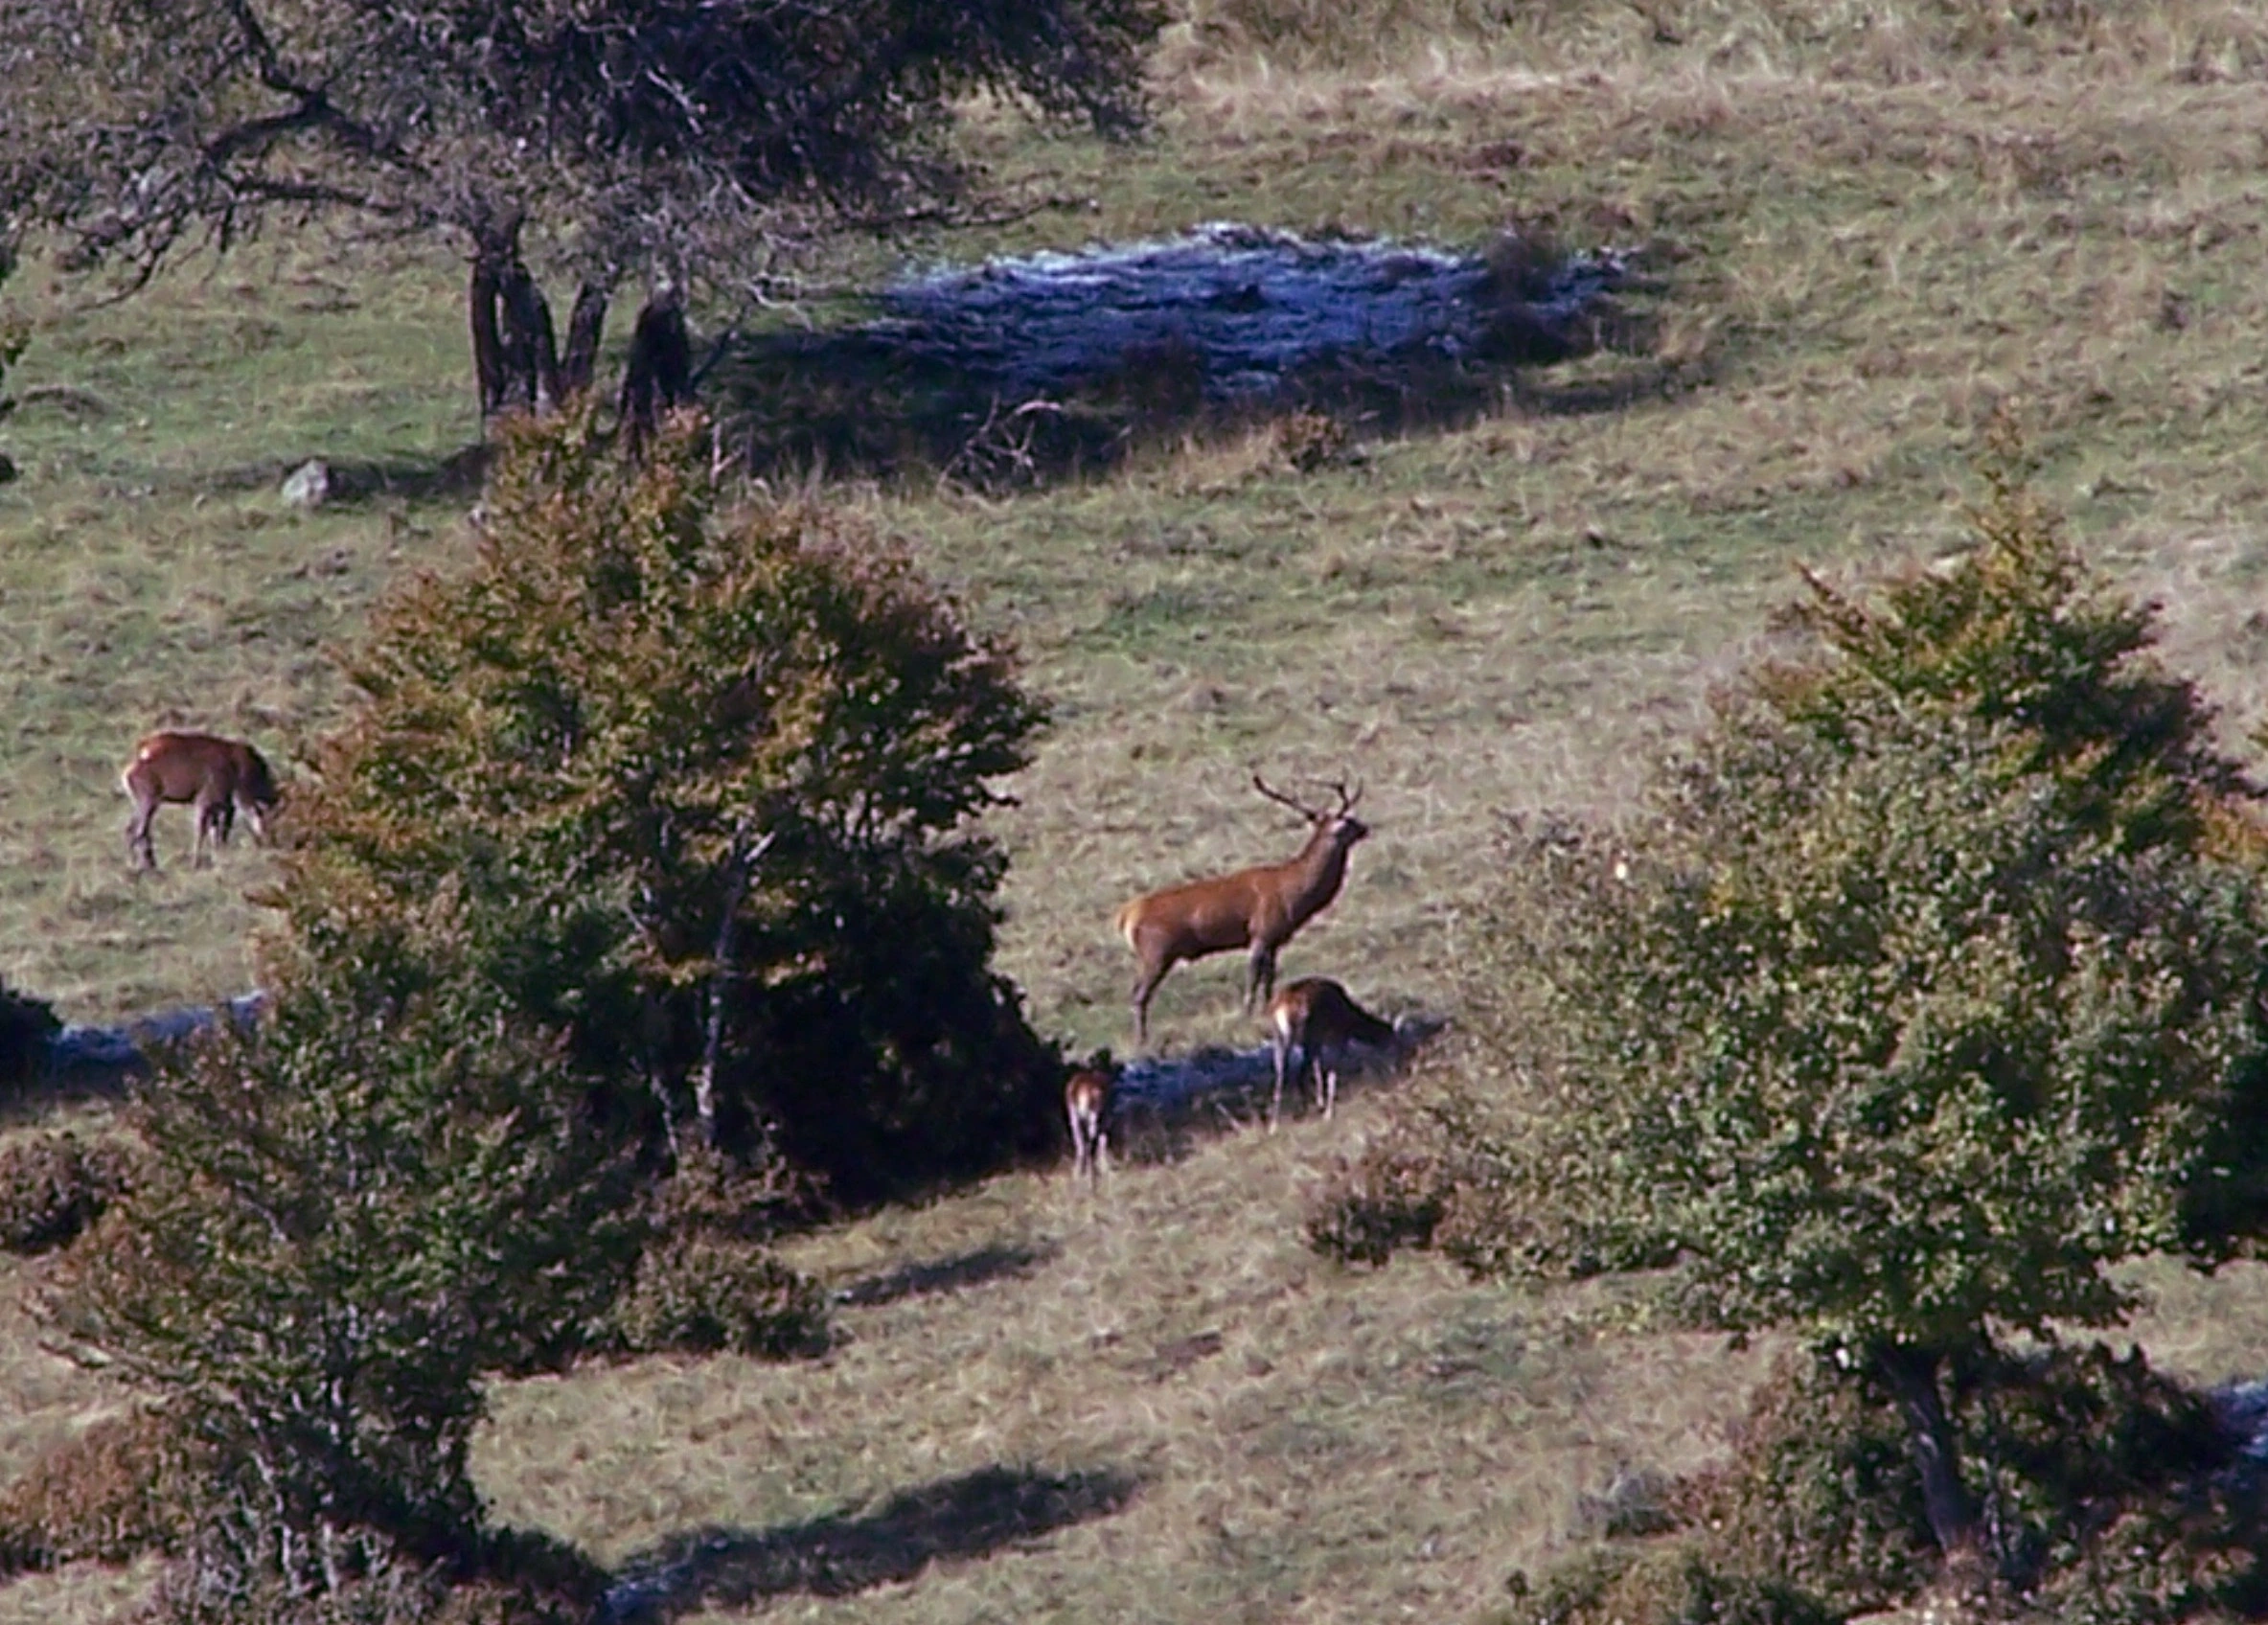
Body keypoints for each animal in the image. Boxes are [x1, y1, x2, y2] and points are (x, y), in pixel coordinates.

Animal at [122, 730, 280, 873]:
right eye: (270, 820)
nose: (271, 844)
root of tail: (129, 772)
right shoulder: (205, 802)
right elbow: (203, 833)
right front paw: (196, 864)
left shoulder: (218, 806)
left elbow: (216, 836)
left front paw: (218, 861)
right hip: (148, 801)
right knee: (135, 830)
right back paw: (134, 866)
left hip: (147, 802)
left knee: (141, 831)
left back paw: (150, 866)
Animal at [1114, 774, 1368, 1050]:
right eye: (1346, 823)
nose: (1365, 827)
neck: (1294, 895)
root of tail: (1127, 916)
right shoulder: (1261, 931)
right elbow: (1253, 977)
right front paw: (1247, 1015)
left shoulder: (1275, 940)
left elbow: (1270, 978)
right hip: (1157, 952)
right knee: (1140, 994)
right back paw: (1142, 1039)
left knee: (1134, 990)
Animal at [1264, 976, 1404, 1130]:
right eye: (1393, 1044)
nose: (1397, 1069)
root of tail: (1281, 1007)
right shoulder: (1337, 1039)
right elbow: (1332, 1072)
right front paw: (1328, 1112)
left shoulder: (1319, 1042)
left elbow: (1318, 1069)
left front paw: (1321, 1103)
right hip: (1306, 1034)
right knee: (1299, 1072)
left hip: (1281, 1039)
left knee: (1282, 1073)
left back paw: (1274, 1124)